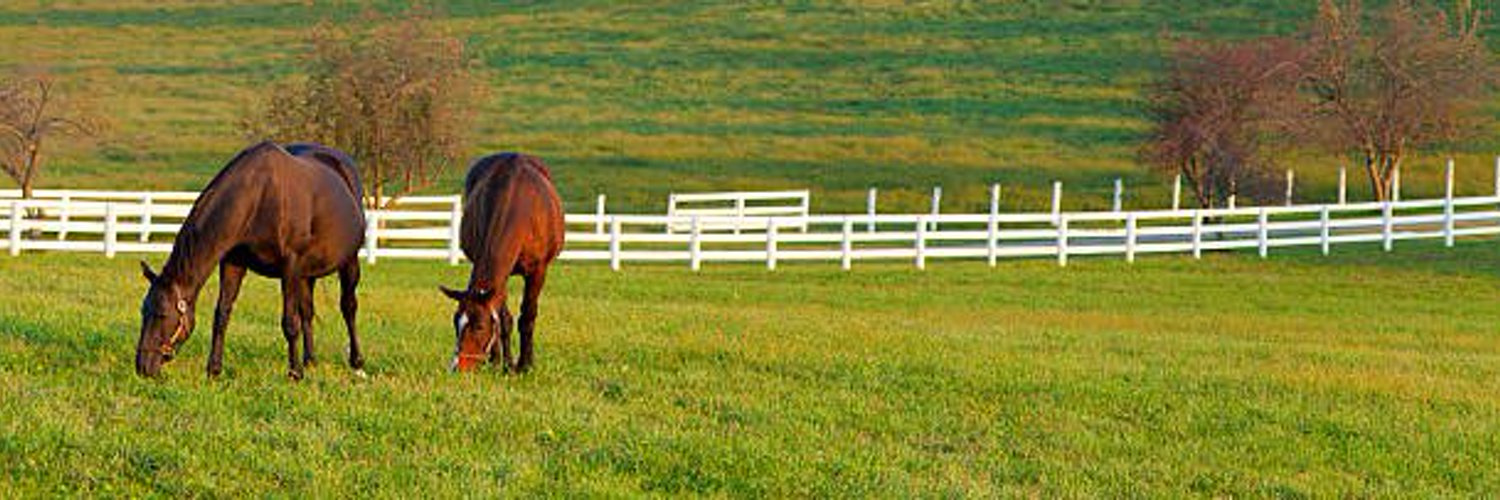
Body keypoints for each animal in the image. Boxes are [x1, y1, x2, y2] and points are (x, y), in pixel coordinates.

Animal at [136, 140, 367, 378]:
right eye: (143, 312)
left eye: (162, 314)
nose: (143, 367)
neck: (259, 196)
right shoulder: (233, 263)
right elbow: (222, 314)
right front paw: (214, 370)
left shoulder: (290, 268)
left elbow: (289, 323)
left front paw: (295, 373)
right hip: (306, 275)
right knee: (307, 312)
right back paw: (310, 361)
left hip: (349, 262)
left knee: (348, 307)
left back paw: (357, 363)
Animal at [444, 151, 567, 369]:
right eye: (455, 321)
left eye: (479, 326)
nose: (457, 366)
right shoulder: (501, 277)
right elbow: (503, 320)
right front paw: (502, 363)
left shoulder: (538, 271)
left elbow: (527, 316)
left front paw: (525, 365)